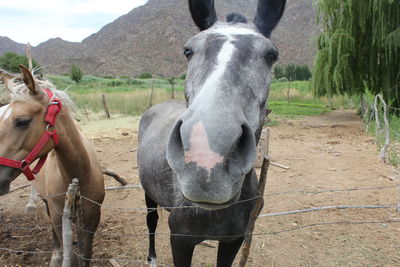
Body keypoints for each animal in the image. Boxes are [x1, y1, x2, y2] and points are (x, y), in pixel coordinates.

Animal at [0, 66, 104, 266]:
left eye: (22, 121)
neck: (79, 175)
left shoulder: (92, 217)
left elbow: (86, 254)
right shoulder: (58, 215)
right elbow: (67, 250)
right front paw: (59, 256)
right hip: (48, 203)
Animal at [139, 0, 286, 266]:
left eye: (272, 55)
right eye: (188, 51)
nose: (206, 158)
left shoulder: (233, 241)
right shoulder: (180, 241)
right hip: (148, 195)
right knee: (151, 221)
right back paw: (152, 257)